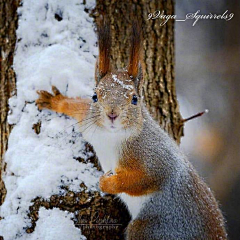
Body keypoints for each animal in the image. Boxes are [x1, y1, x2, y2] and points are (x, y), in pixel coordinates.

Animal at [36, 20, 228, 240]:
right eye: (95, 96)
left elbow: (143, 180)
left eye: (135, 99)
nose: (112, 114)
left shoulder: (155, 158)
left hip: (152, 230)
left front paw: (107, 184)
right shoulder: (89, 122)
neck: (110, 136)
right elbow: (78, 108)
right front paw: (56, 101)